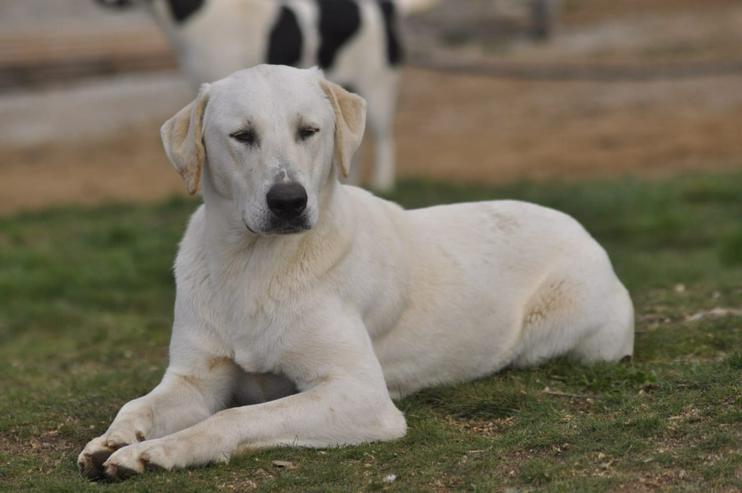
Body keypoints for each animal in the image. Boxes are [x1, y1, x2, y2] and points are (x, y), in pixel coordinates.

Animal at [78, 63, 636, 478]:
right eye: (241, 135)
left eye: (309, 131)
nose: (289, 201)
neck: (253, 265)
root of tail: (581, 228)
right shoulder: (196, 380)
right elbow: (138, 405)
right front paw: (114, 440)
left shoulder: (361, 396)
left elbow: (237, 416)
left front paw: (159, 450)